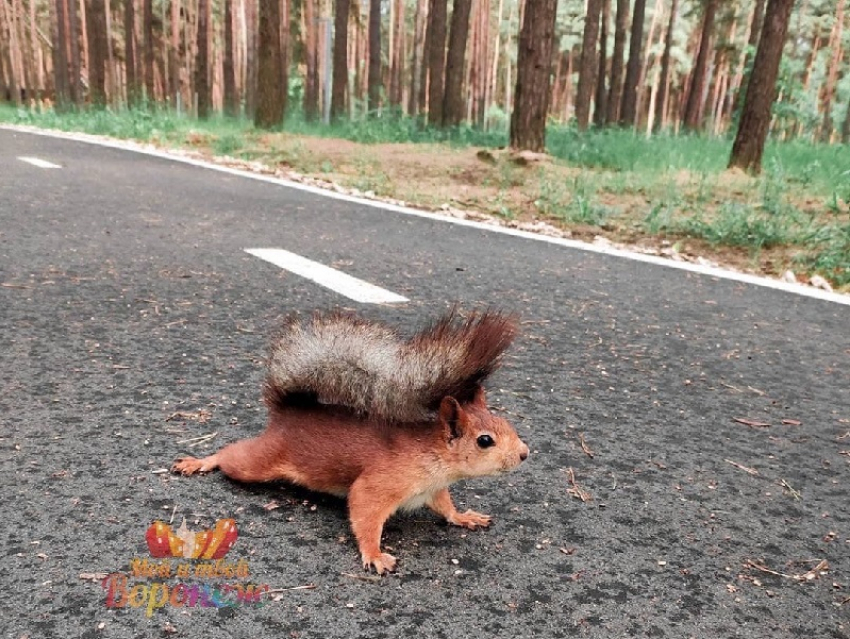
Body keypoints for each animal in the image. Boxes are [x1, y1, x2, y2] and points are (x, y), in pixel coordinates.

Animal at [171, 310, 528, 576]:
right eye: (485, 441)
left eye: (507, 424)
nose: (524, 454)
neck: (434, 455)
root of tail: (289, 412)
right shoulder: (381, 483)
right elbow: (365, 511)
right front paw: (375, 554)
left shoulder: (433, 489)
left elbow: (445, 507)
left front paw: (464, 517)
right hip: (258, 462)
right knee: (231, 455)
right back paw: (200, 462)